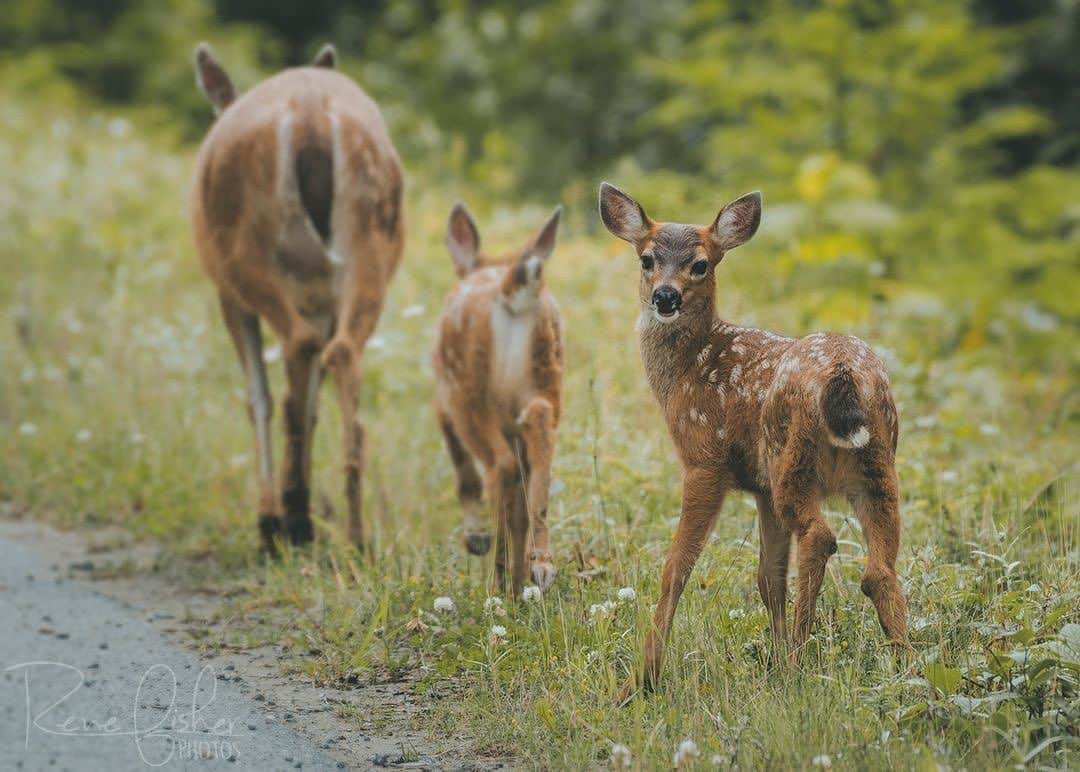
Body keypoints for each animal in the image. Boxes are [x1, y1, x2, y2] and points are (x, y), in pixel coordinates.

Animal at [191, 43, 406, 550]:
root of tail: (311, 117)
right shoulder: (321, 300)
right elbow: (311, 401)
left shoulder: (229, 295)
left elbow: (260, 397)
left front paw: (269, 517)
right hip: (370, 246)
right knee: (341, 355)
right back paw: (353, 532)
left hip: (249, 254)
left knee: (298, 349)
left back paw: (289, 520)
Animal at [432, 201, 565, 596]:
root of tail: (512, 289)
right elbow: (521, 499)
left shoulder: (443, 405)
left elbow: (465, 474)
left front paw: (476, 538)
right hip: (546, 378)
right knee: (538, 433)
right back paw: (536, 568)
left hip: (467, 390)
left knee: (499, 467)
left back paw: (499, 574)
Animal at [600, 184, 911, 699]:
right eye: (647, 259)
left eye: (700, 264)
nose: (665, 296)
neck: (687, 370)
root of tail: (843, 373)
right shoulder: (761, 488)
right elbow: (769, 578)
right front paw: (772, 655)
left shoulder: (705, 460)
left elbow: (675, 569)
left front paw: (641, 679)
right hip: (876, 465)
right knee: (878, 569)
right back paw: (906, 666)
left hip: (793, 459)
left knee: (822, 538)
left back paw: (799, 664)